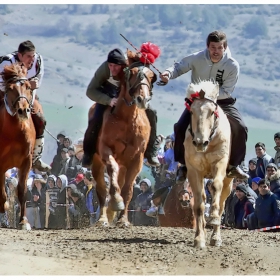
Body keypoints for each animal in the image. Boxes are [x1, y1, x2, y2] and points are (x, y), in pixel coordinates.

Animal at [184, 80, 234, 248]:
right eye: (192, 112)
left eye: (212, 112)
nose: (200, 142)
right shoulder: (194, 171)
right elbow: (199, 205)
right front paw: (199, 239)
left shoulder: (220, 163)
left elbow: (216, 187)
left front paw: (213, 218)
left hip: (229, 182)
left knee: (222, 203)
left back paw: (215, 236)